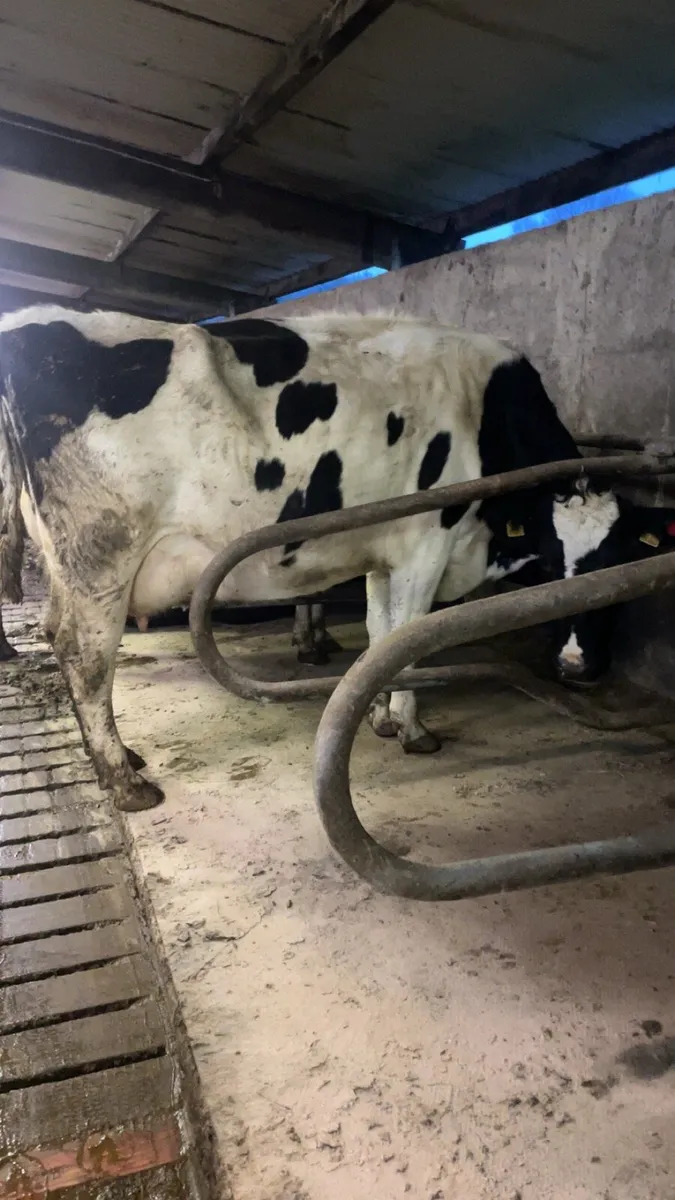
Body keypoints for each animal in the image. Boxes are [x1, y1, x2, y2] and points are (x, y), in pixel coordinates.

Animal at [0, 307, 673, 814]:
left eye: (614, 568)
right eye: (557, 566)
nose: (577, 666)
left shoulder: (383, 549)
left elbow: (380, 635)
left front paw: (377, 715)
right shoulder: (428, 539)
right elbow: (410, 635)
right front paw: (413, 729)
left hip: (71, 567)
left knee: (58, 636)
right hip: (102, 559)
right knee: (84, 657)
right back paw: (125, 781)